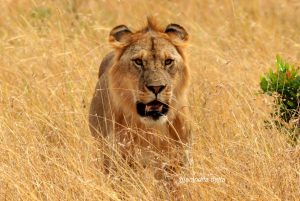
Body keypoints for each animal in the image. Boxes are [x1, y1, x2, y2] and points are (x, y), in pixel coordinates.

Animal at [89, 17, 192, 181]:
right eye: (138, 61)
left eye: (168, 61)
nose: (156, 87)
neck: (152, 130)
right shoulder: (120, 161)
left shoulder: (178, 162)